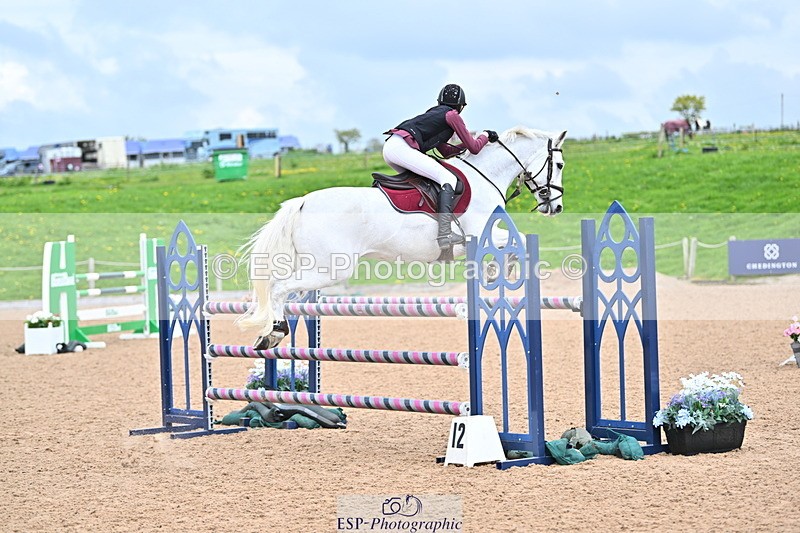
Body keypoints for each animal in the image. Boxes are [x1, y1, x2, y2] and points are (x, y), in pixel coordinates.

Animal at [237, 126, 568, 348]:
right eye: (560, 165)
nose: (556, 207)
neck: (484, 176)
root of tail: (303, 202)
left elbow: (515, 241)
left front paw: (495, 270)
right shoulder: (477, 233)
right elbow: (517, 239)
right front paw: (499, 270)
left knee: (282, 287)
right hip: (330, 269)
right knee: (279, 288)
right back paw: (274, 332)